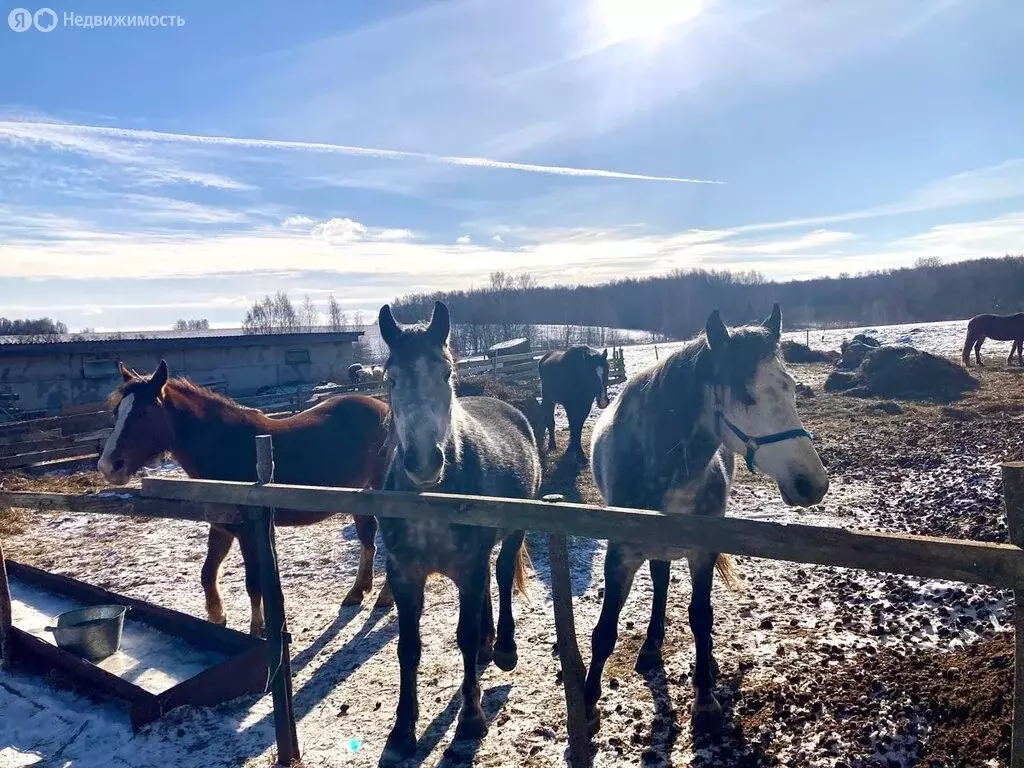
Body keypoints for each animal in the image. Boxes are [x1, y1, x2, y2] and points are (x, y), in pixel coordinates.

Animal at [97, 360, 391, 638]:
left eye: (143, 412)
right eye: (116, 412)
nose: (109, 466)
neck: (229, 446)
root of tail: (385, 409)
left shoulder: (250, 531)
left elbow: (254, 584)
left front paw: (257, 629)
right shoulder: (222, 527)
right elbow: (207, 573)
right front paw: (217, 616)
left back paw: (384, 597)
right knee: (368, 540)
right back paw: (357, 592)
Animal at [372, 301, 540, 765]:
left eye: (445, 372)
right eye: (391, 378)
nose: (423, 461)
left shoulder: (468, 566)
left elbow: (462, 637)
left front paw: (470, 720)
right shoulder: (404, 575)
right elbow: (408, 648)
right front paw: (401, 731)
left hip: (511, 534)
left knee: (501, 574)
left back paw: (502, 647)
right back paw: (488, 642)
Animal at [585, 307, 831, 741]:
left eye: (790, 388)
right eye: (746, 395)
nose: (813, 483)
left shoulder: (703, 550)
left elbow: (701, 618)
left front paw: (704, 700)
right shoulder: (620, 554)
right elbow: (604, 632)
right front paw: (587, 705)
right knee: (660, 580)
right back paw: (651, 647)